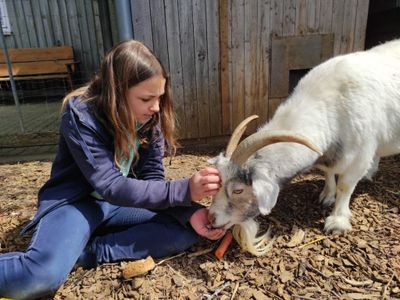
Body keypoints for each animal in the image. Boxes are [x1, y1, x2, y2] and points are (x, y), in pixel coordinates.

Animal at [208, 38, 400, 255]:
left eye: (239, 190)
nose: (210, 218)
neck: (333, 103)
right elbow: (328, 173)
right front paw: (327, 196)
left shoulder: (360, 155)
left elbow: (345, 185)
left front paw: (337, 221)